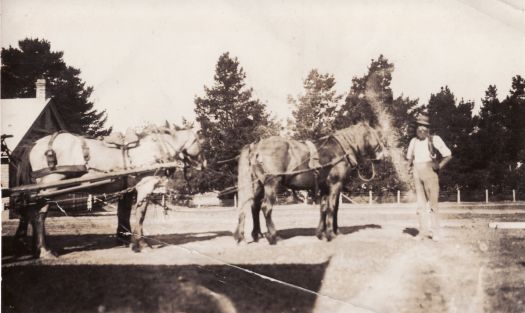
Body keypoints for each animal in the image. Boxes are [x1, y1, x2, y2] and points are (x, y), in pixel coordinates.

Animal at [12, 123, 205, 258]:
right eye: (199, 141)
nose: (204, 164)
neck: (155, 149)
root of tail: (36, 143)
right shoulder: (145, 186)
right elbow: (140, 215)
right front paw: (141, 244)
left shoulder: (127, 189)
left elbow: (124, 213)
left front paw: (126, 239)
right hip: (49, 187)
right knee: (39, 215)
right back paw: (44, 250)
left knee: (29, 213)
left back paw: (32, 246)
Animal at [233, 122, 384, 244]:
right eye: (376, 135)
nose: (383, 155)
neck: (339, 150)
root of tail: (257, 146)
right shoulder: (335, 185)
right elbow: (333, 208)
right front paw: (332, 234)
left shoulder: (324, 188)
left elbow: (323, 208)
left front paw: (321, 233)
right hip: (271, 184)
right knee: (266, 208)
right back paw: (274, 237)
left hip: (258, 185)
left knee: (255, 207)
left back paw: (256, 235)